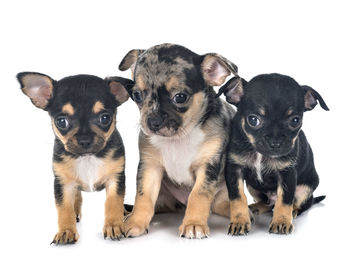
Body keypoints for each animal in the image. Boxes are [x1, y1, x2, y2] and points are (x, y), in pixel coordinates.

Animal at [15, 71, 133, 244]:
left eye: (105, 118)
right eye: (61, 121)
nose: (85, 140)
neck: (87, 158)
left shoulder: (115, 179)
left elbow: (113, 203)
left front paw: (113, 225)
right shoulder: (62, 183)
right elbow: (64, 208)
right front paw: (66, 231)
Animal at [111, 43, 238, 239]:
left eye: (180, 97)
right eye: (137, 95)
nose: (153, 122)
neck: (179, 138)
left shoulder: (208, 166)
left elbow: (198, 195)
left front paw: (194, 223)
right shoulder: (150, 167)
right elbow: (143, 196)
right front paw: (135, 222)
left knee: (218, 204)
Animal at [217, 73, 330, 236]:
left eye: (295, 121)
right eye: (253, 120)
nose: (275, 142)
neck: (260, 154)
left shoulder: (287, 173)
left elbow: (285, 200)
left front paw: (282, 221)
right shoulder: (234, 170)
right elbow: (238, 197)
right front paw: (240, 221)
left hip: (305, 188)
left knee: (300, 204)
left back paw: (293, 212)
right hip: (253, 186)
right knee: (268, 203)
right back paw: (257, 207)